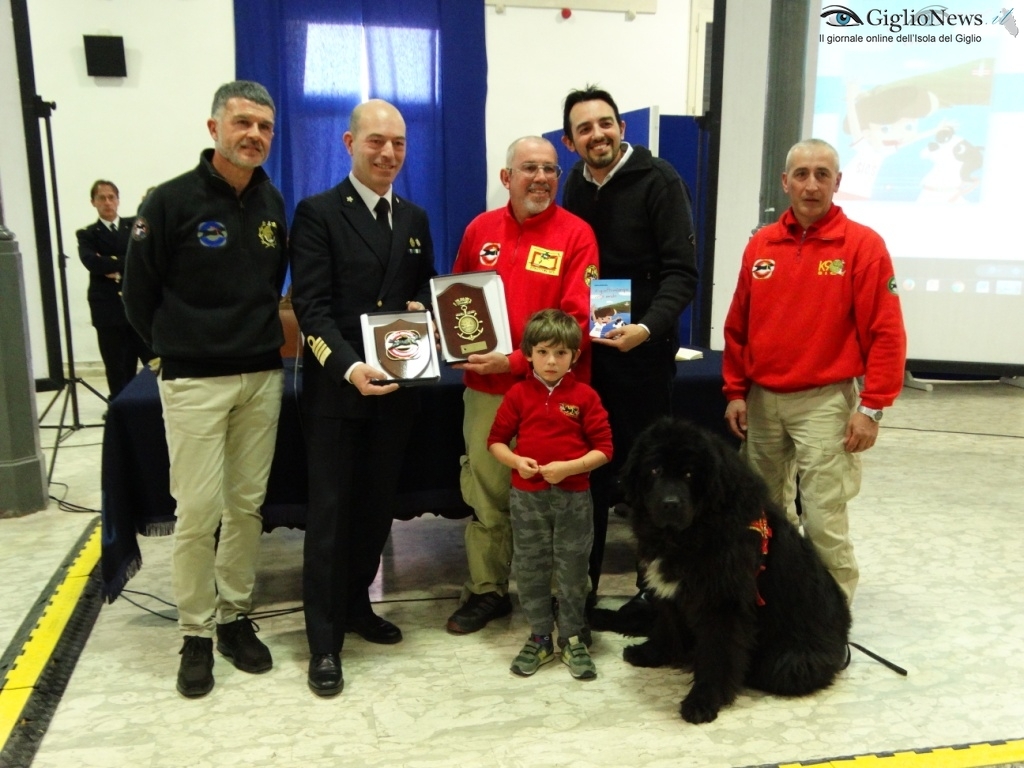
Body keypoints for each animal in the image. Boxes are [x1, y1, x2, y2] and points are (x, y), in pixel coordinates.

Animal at [618, 417, 851, 724]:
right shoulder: (671, 593)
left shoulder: (722, 603)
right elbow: (667, 625)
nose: (670, 504)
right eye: (654, 469)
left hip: (792, 662)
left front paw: (702, 701)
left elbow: (716, 655)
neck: (690, 533)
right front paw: (652, 653)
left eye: (690, 474)